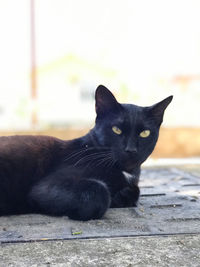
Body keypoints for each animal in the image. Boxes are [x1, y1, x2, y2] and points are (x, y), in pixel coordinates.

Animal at [0, 86, 172, 222]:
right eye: (116, 129)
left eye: (145, 133)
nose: (131, 149)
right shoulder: (45, 187)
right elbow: (100, 191)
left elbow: (134, 192)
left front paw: (122, 196)